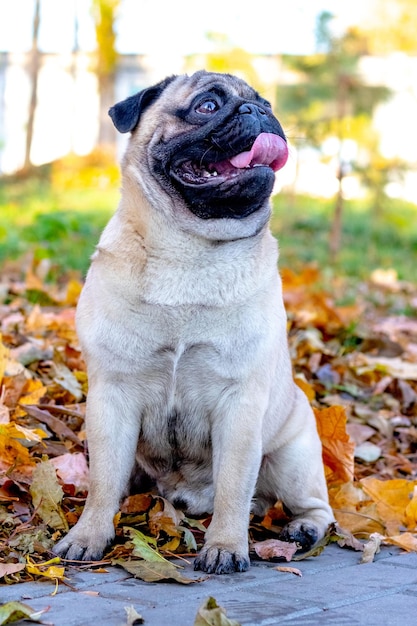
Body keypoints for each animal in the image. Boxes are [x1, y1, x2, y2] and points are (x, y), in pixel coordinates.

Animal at [53, 70, 334, 572]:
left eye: (267, 104)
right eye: (207, 106)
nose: (258, 111)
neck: (190, 250)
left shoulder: (240, 405)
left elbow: (234, 486)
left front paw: (225, 546)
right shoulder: (112, 397)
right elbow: (102, 482)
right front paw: (88, 535)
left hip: (294, 456)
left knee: (312, 506)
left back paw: (302, 529)